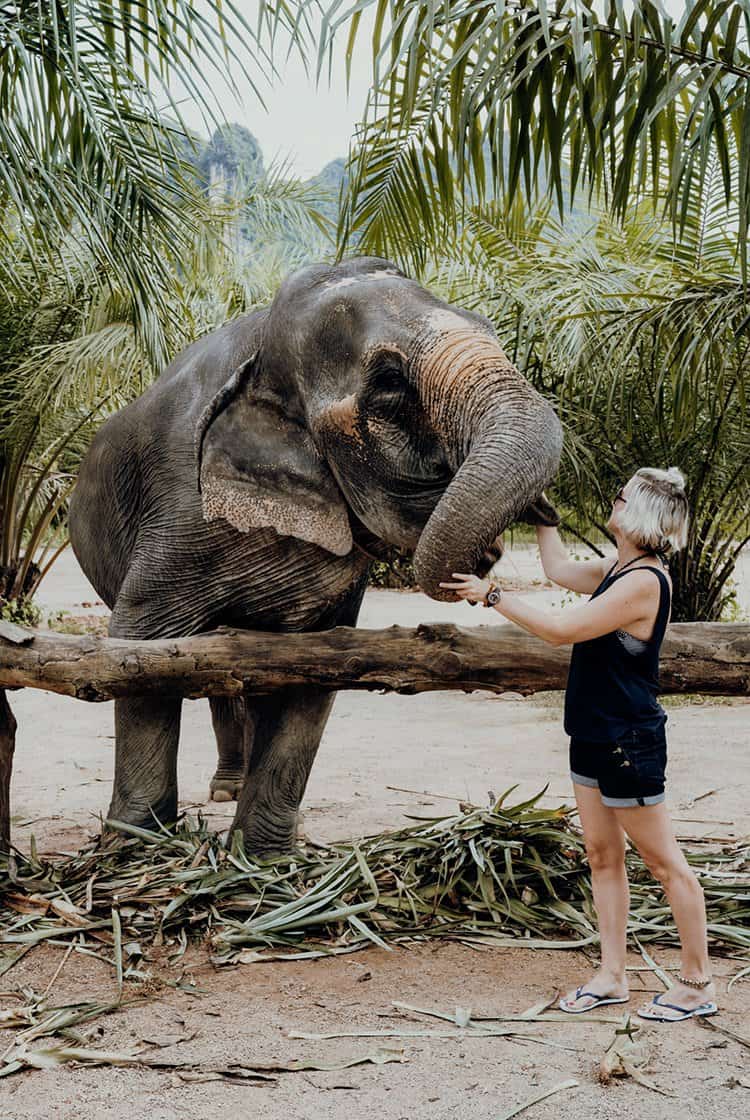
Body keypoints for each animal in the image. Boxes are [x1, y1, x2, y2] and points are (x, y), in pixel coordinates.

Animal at [68, 255, 563, 854]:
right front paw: (136, 848)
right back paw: (219, 795)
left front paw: (264, 859)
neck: (263, 348)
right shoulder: (178, 506)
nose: (547, 514)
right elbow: (140, 647)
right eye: (389, 383)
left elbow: (311, 666)